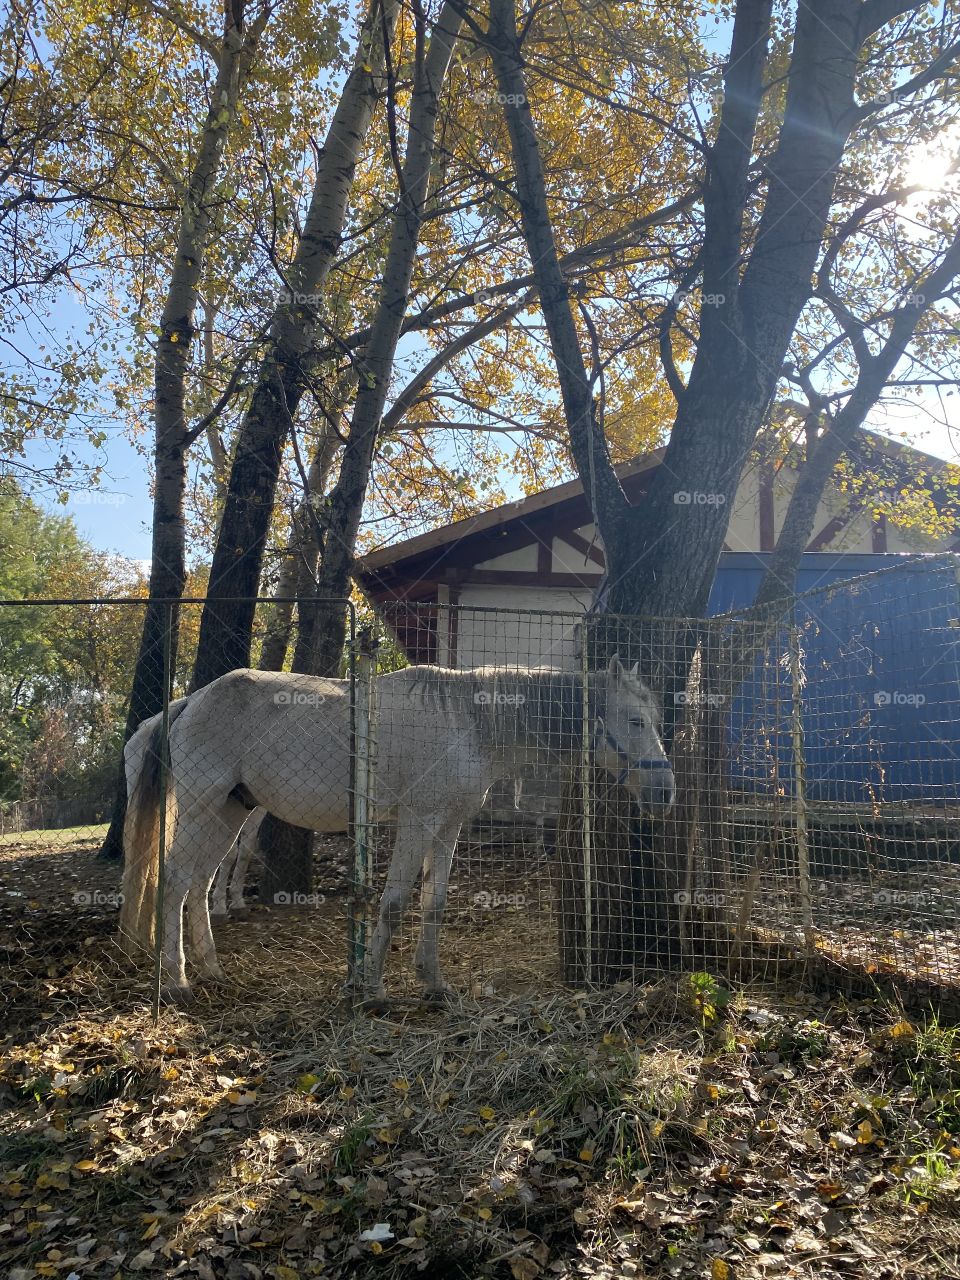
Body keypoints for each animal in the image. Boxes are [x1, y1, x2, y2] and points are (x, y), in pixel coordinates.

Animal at [120, 660, 675, 1008]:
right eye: (634, 720)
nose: (666, 792)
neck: (471, 721)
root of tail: (190, 701)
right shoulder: (418, 822)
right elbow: (392, 903)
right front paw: (374, 989)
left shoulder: (447, 827)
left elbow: (434, 903)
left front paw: (434, 984)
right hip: (200, 807)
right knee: (175, 882)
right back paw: (177, 983)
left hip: (229, 813)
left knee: (198, 884)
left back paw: (212, 969)